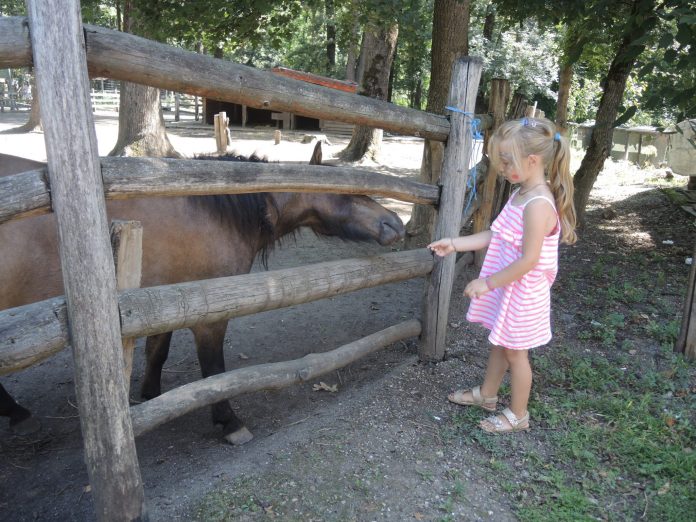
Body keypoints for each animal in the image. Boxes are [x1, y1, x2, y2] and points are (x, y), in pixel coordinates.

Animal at [0, 148, 405, 443]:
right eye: (346, 190)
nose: (395, 223)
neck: (215, 211)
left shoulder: (164, 304)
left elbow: (158, 352)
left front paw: (150, 395)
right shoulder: (208, 315)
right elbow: (214, 371)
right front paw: (228, 421)